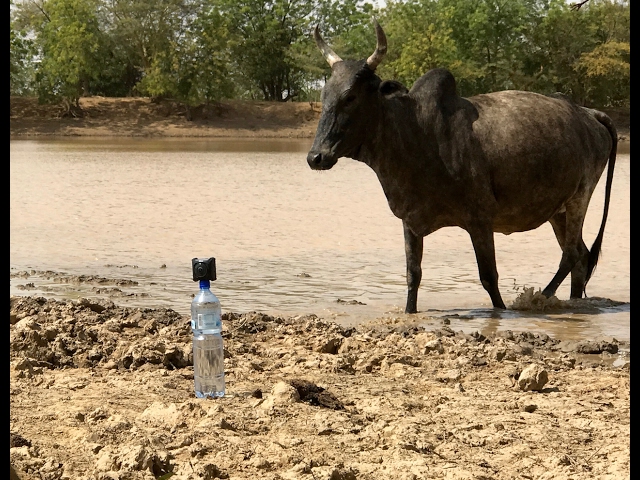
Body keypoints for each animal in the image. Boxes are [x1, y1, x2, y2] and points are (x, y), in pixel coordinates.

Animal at [308, 18, 616, 314]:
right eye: (324, 97)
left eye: (350, 97)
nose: (316, 157)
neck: (417, 133)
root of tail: (588, 113)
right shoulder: (410, 221)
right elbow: (413, 275)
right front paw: (409, 311)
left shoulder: (480, 219)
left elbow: (489, 278)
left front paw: (503, 310)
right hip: (557, 210)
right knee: (580, 255)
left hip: (580, 197)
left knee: (571, 254)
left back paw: (541, 297)